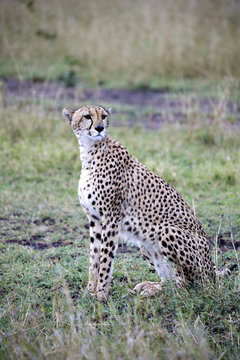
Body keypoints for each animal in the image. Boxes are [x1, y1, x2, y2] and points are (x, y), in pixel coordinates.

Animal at [62, 106, 216, 300]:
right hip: (145, 243)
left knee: (186, 286)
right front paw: (90, 290)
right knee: (171, 281)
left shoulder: (111, 218)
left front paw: (102, 294)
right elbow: (94, 257)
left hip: (167, 232)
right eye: (87, 116)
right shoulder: (95, 219)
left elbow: (105, 257)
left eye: (103, 116)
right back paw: (151, 287)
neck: (89, 151)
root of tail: (213, 273)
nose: (99, 128)